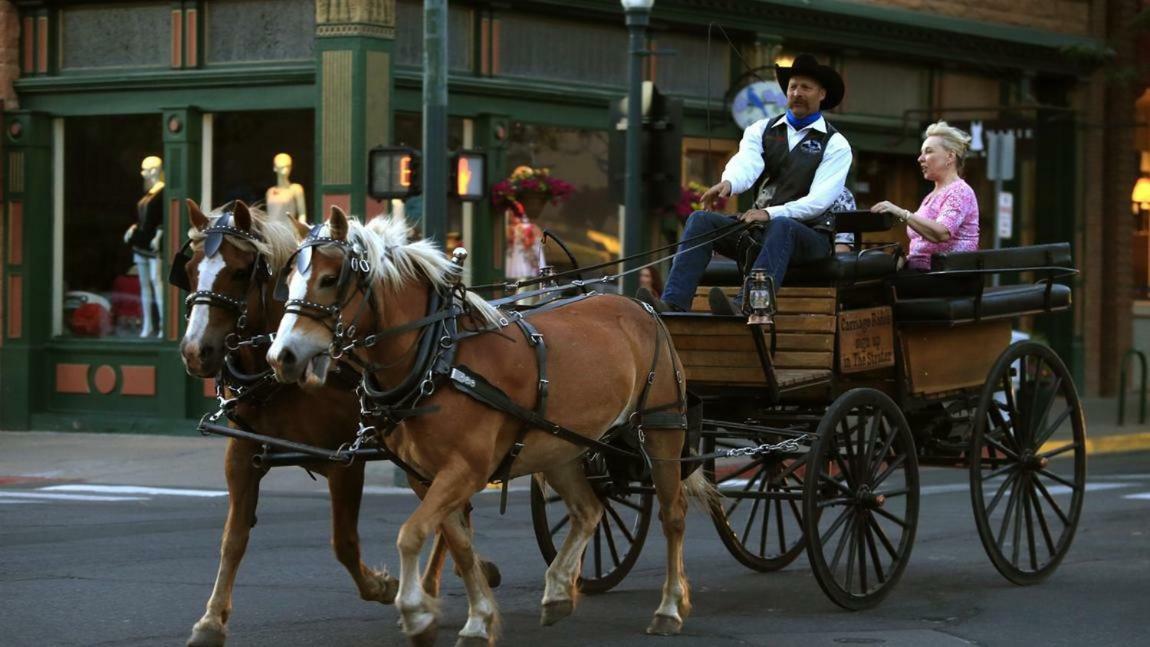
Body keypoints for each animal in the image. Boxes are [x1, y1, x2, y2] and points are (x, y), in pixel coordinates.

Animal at [174, 202, 471, 647]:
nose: (196, 352)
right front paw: (211, 621)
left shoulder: (342, 459)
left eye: (241, 271)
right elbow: (233, 539)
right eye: (190, 269)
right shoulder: (242, 453)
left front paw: (383, 586)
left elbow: (343, 543)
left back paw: (434, 588)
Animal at [266, 210, 708, 643]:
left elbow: (411, 534)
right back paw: (559, 592)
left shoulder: (466, 469)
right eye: (287, 282)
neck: (438, 357)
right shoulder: (426, 476)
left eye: (329, 279)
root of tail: (640, 306)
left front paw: (416, 612)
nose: (280, 356)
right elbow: (458, 544)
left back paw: (669, 607)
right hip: (559, 448)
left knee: (673, 515)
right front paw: (478, 619)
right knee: (589, 510)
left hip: (661, 431)